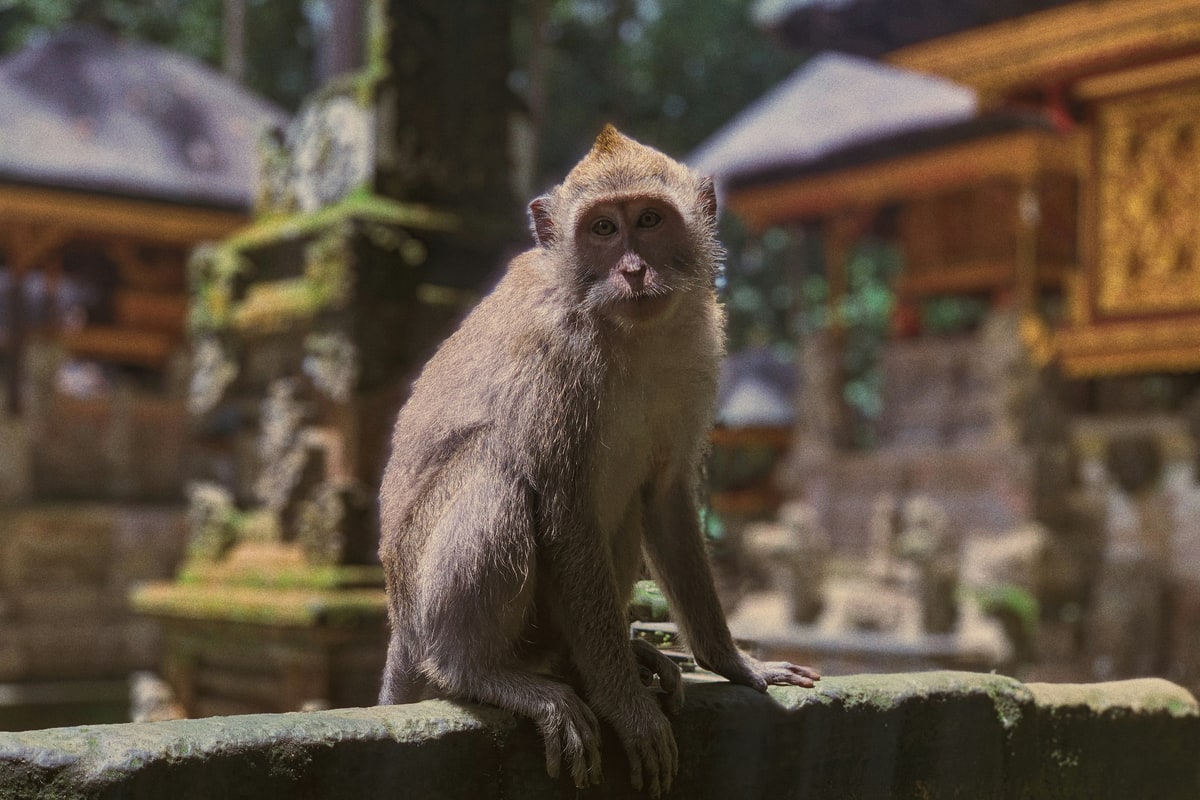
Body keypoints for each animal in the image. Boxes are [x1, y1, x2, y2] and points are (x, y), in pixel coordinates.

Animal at [377, 125, 819, 797]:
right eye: (604, 230)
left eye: (649, 220)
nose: (633, 271)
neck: (625, 331)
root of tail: (400, 621)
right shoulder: (554, 357)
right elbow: (563, 510)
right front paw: (626, 707)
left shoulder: (699, 350)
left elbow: (665, 499)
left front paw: (734, 663)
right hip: (423, 593)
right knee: (497, 467)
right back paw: (479, 673)